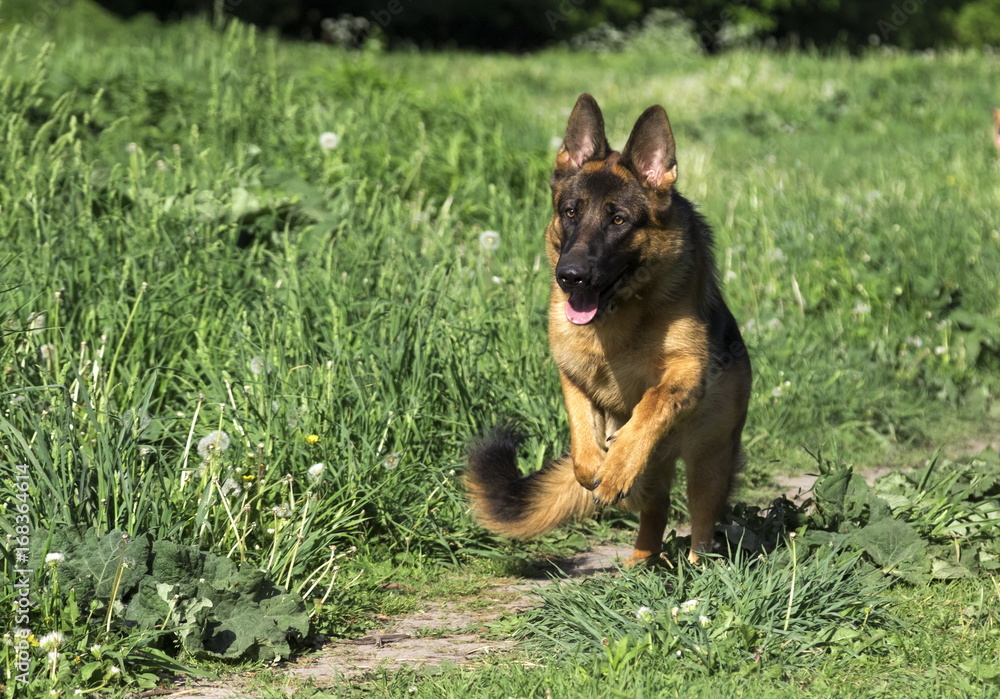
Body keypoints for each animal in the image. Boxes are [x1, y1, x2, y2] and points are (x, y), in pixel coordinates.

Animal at [466, 93, 752, 568]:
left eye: (618, 220)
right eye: (570, 212)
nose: (570, 276)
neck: (620, 316)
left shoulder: (686, 373)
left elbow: (653, 402)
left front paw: (618, 463)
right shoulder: (572, 373)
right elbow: (582, 431)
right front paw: (595, 464)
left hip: (708, 463)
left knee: (701, 524)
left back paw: (697, 568)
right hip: (655, 483)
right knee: (655, 506)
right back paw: (639, 563)